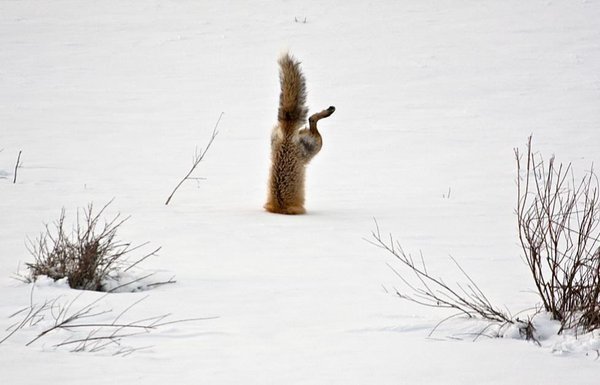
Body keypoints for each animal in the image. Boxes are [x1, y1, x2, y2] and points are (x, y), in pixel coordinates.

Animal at [264, 53, 336, 214]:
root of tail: (287, 133)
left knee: (312, 119)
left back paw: (328, 111)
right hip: (315, 146)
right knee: (312, 119)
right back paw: (328, 111)